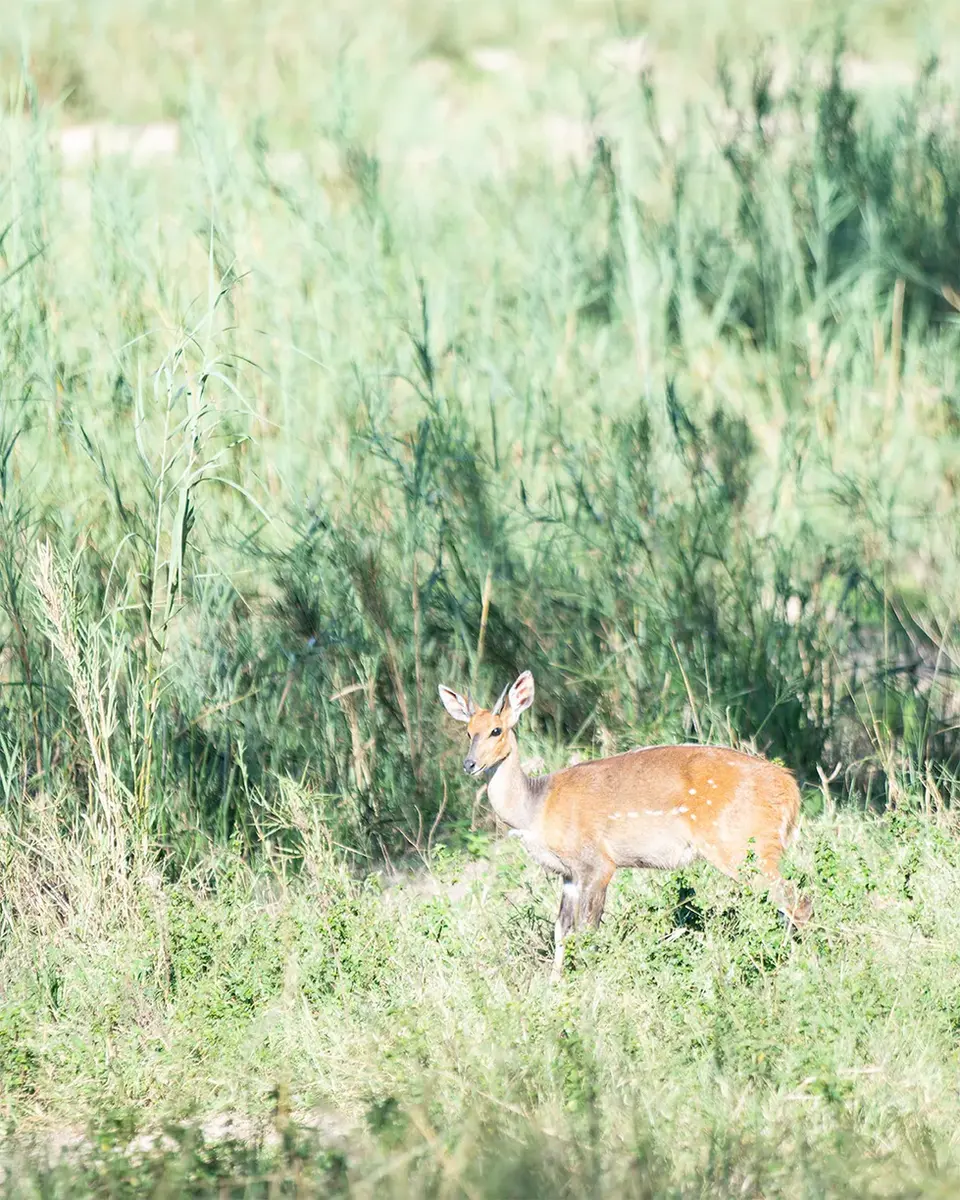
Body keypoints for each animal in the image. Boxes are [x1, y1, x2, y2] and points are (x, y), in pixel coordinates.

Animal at [439, 670, 812, 979]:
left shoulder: (597, 862)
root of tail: (790, 788)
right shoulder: (568, 874)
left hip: (740, 844)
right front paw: (554, 984)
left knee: (795, 899)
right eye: (468, 732)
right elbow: (561, 930)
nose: (469, 764)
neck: (536, 808)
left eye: (496, 730)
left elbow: (587, 930)